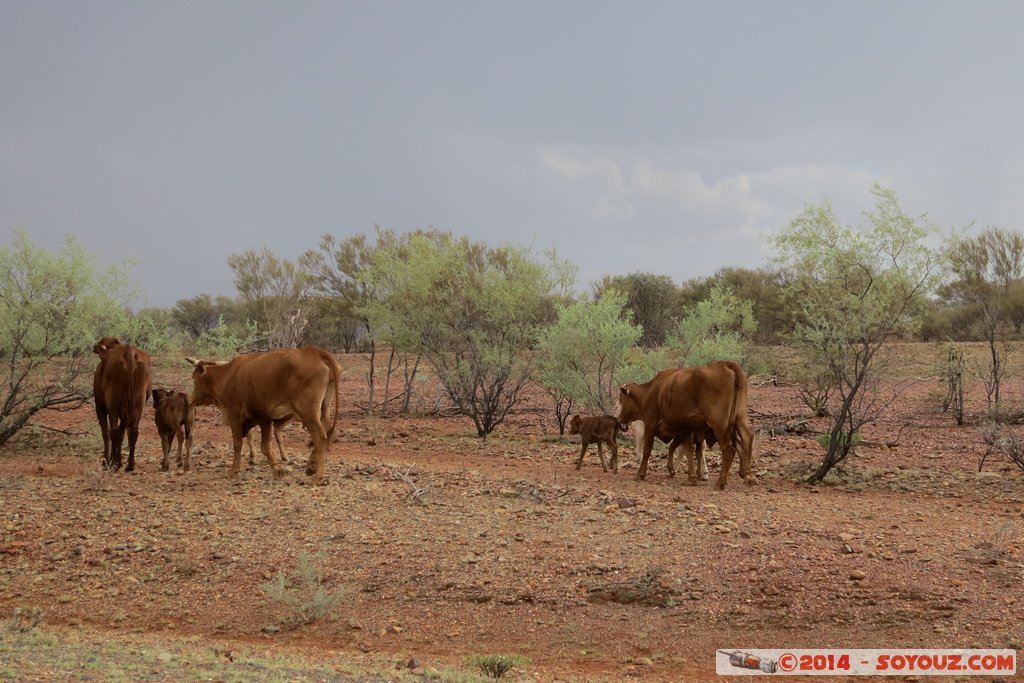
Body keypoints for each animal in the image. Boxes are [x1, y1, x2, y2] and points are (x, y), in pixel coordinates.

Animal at [93, 335, 151, 471]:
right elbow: (122, 433)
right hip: (137, 403)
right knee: (133, 431)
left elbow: (106, 432)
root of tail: (129, 351)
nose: (94, 346)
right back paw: (129, 465)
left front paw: (106, 461)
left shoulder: (100, 406)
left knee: (113, 430)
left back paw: (113, 463)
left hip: (113, 404)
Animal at [186, 348, 342, 485]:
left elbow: (238, 444)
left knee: (320, 437)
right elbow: (265, 446)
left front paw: (233, 471)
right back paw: (311, 466)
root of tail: (314, 351)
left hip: (308, 413)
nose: (190, 400)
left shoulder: (234, 414)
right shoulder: (264, 418)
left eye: (193, 378)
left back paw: (317, 477)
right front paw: (277, 469)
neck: (227, 375)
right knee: (326, 432)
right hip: (323, 408)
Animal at [614, 360, 753, 489]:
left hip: (719, 424)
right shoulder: (686, 430)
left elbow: (648, 449)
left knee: (729, 449)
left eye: (621, 398)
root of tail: (725, 364)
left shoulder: (651, 424)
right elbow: (689, 452)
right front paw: (692, 478)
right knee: (746, 439)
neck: (649, 391)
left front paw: (640, 474)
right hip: (739, 418)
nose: (618, 419)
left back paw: (721, 482)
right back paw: (748, 476)